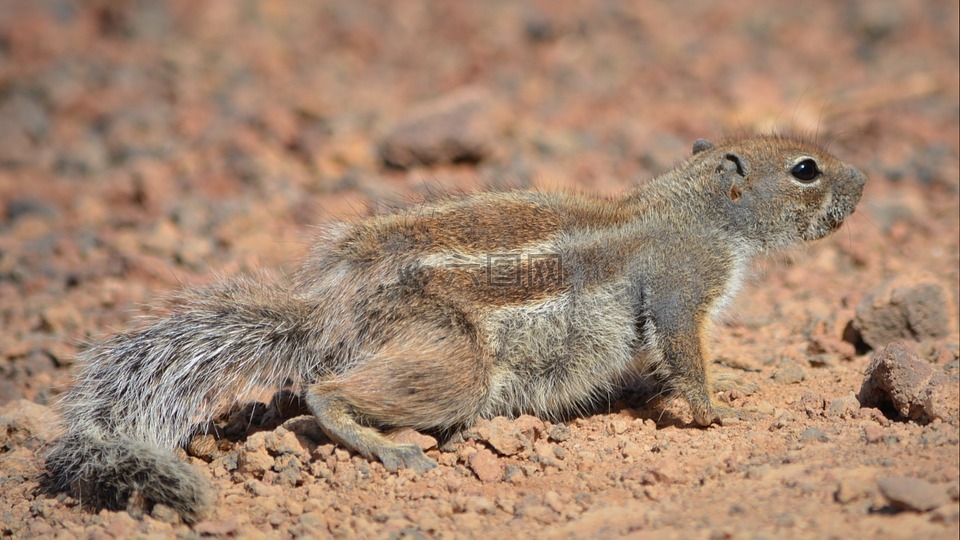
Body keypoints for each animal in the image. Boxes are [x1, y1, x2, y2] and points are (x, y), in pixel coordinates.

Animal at [43, 133, 872, 520]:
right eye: (806, 169)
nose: (865, 179)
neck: (692, 209)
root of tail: (333, 307)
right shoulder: (682, 288)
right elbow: (685, 355)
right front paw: (718, 411)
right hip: (455, 365)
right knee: (324, 394)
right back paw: (385, 446)